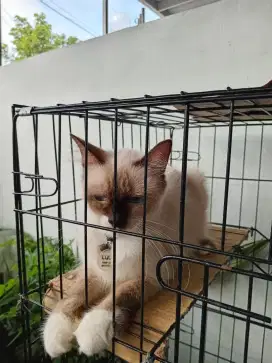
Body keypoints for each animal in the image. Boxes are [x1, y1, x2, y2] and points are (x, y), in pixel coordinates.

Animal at [43, 136, 211, 358]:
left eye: (135, 199)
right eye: (100, 198)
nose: (114, 220)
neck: (118, 241)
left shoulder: (150, 277)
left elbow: (118, 296)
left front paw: (91, 333)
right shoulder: (97, 272)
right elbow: (72, 298)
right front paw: (55, 335)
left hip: (197, 181)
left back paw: (203, 247)